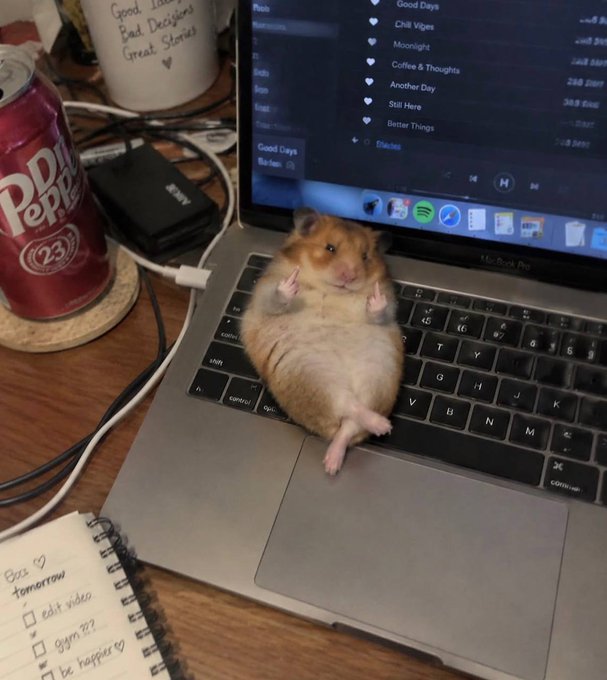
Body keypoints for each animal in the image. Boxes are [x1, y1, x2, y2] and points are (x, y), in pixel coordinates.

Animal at [240, 208, 404, 474]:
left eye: (365, 256)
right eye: (330, 248)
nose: (350, 276)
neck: (333, 289)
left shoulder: (388, 312)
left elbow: (379, 312)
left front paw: (375, 298)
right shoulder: (264, 296)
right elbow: (278, 297)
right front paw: (291, 284)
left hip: (379, 377)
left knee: (350, 424)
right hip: (312, 375)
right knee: (348, 410)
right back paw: (341, 457)